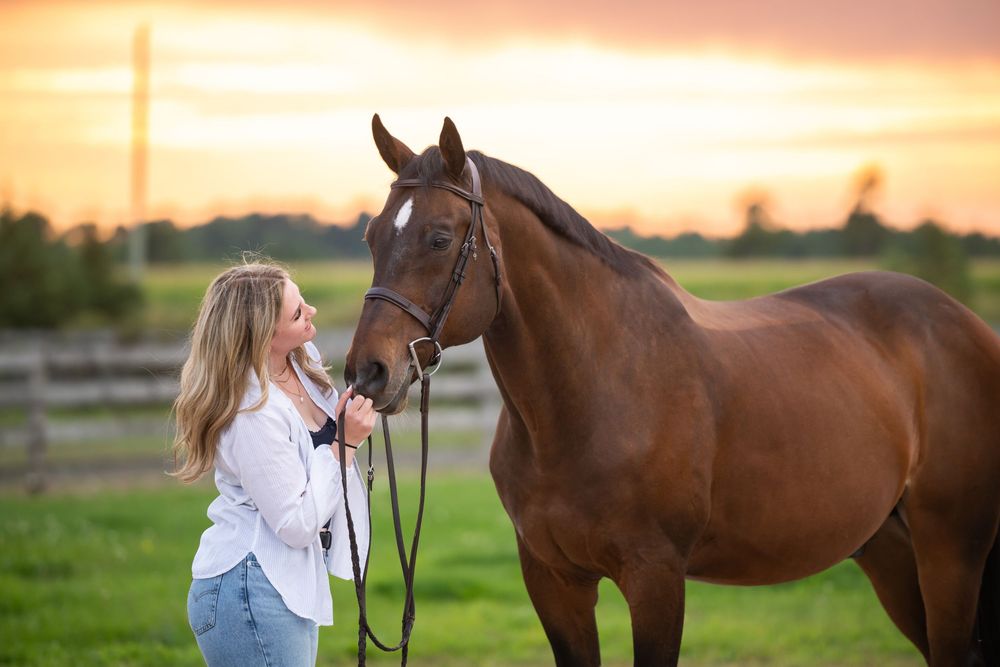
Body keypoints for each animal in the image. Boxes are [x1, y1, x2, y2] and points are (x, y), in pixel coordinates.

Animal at [344, 115, 1000, 666]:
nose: (367, 373)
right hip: (890, 553)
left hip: (951, 551)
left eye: (438, 238)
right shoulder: (555, 583)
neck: (591, 395)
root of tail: (968, 325)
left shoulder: (655, 578)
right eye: (371, 237)